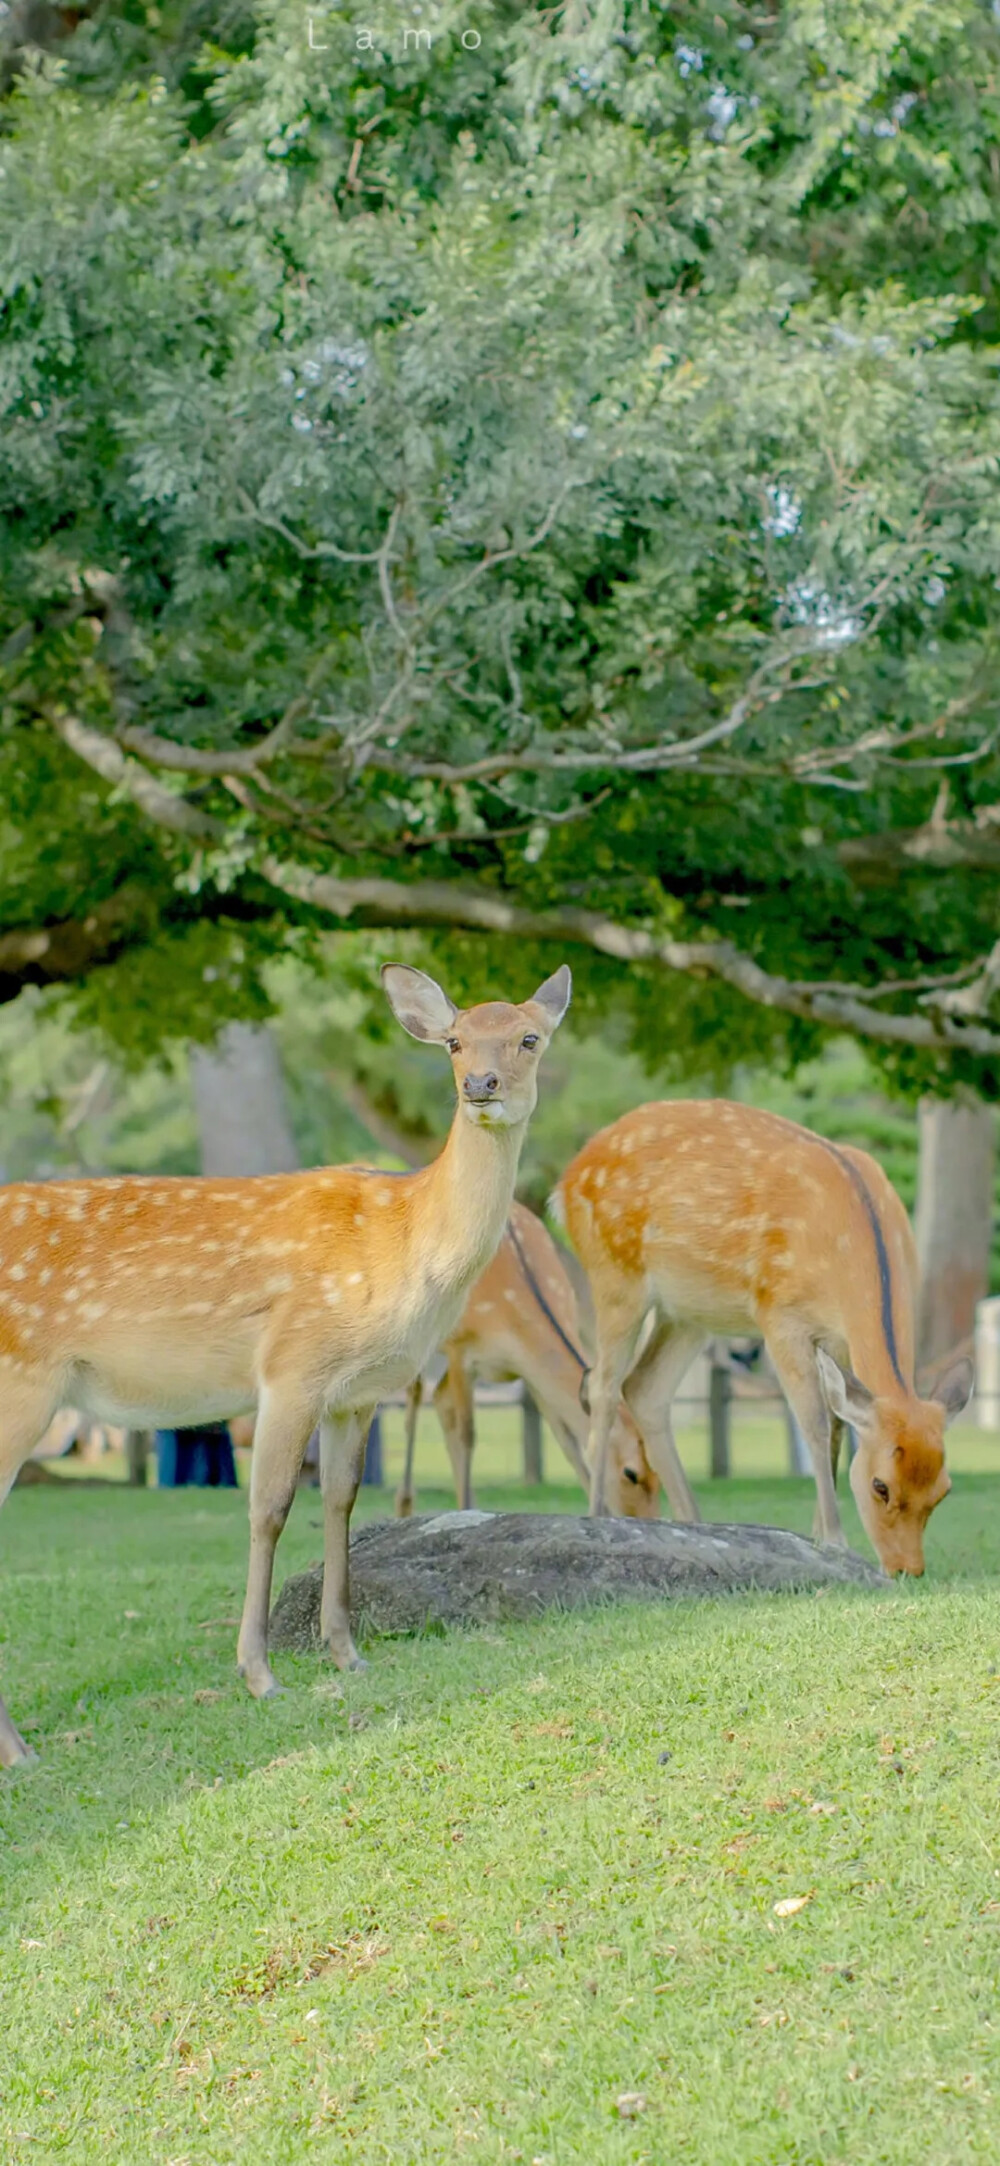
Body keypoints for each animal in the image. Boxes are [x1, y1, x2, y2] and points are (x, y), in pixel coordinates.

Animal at [0, 966, 567, 1758]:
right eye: (455, 1041)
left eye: (529, 1037)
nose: (480, 1084)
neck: (405, 1247)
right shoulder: (292, 1367)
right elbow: (268, 1509)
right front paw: (259, 1675)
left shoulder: (357, 1392)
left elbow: (339, 1501)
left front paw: (346, 1652)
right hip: (22, 1385)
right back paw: (19, 1749)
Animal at [391, 1204, 662, 1524]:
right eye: (630, 1473)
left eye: (659, 1476)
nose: (648, 1519)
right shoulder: (460, 1350)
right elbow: (468, 1434)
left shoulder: (530, 1375)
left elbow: (567, 1441)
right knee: (416, 1393)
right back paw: (405, 1504)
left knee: (438, 1396)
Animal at [554, 1100, 969, 1576]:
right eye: (880, 1485)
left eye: (944, 1489)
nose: (907, 1569)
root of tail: (566, 1181)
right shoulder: (779, 1315)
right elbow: (814, 1423)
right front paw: (834, 1538)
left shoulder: (838, 1341)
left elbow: (838, 1430)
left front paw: (820, 1535)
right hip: (614, 1273)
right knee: (601, 1386)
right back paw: (596, 1516)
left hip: (688, 1311)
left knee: (643, 1387)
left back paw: (696, 1525)